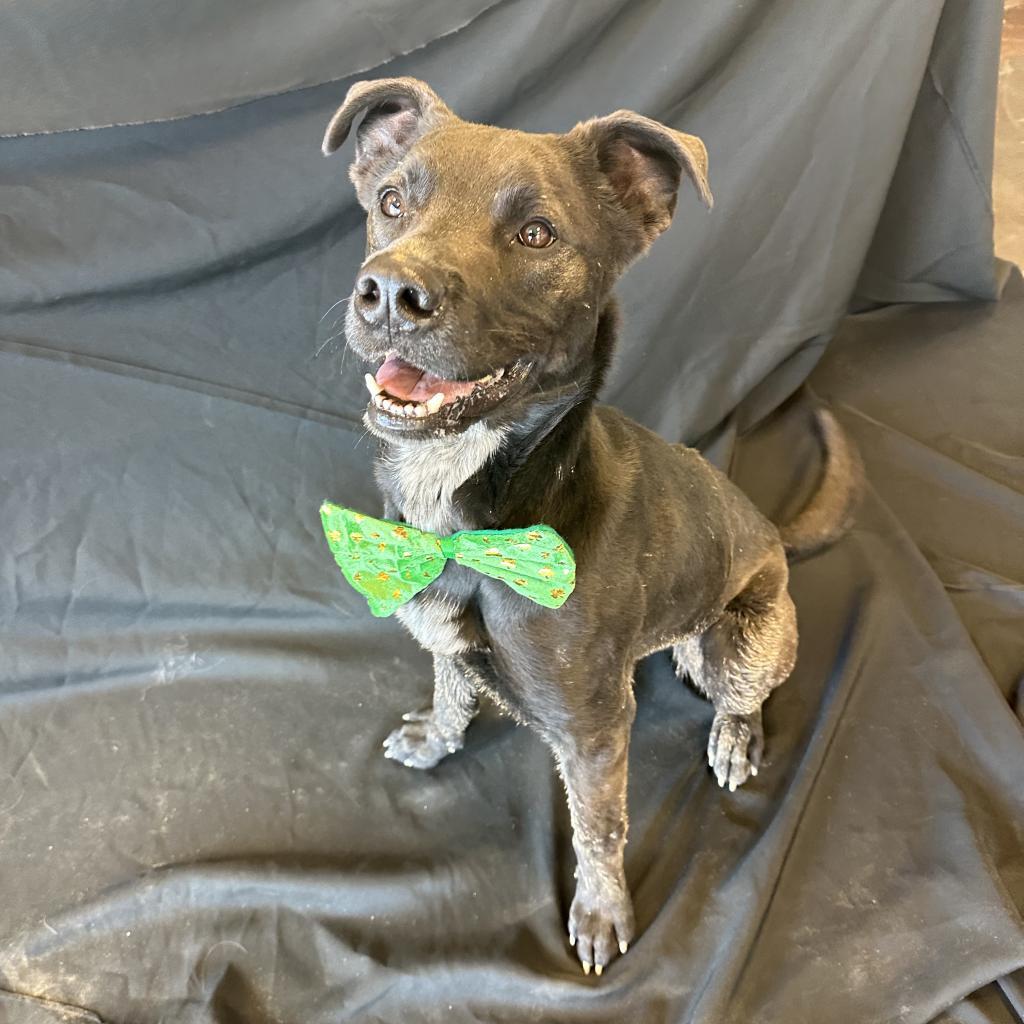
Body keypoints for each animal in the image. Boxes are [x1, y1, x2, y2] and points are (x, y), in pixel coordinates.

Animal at [321, 79, 864, 974]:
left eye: (537, 233)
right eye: (393, 202)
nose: (391, 293)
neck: (483, 512)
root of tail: (771, 534)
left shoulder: (596, 731)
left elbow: (600, 828)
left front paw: (603, 912)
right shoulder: (442, 638)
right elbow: (451, 690)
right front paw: (435, 740)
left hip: (743, 640)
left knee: (742, 692)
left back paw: (736, 737)